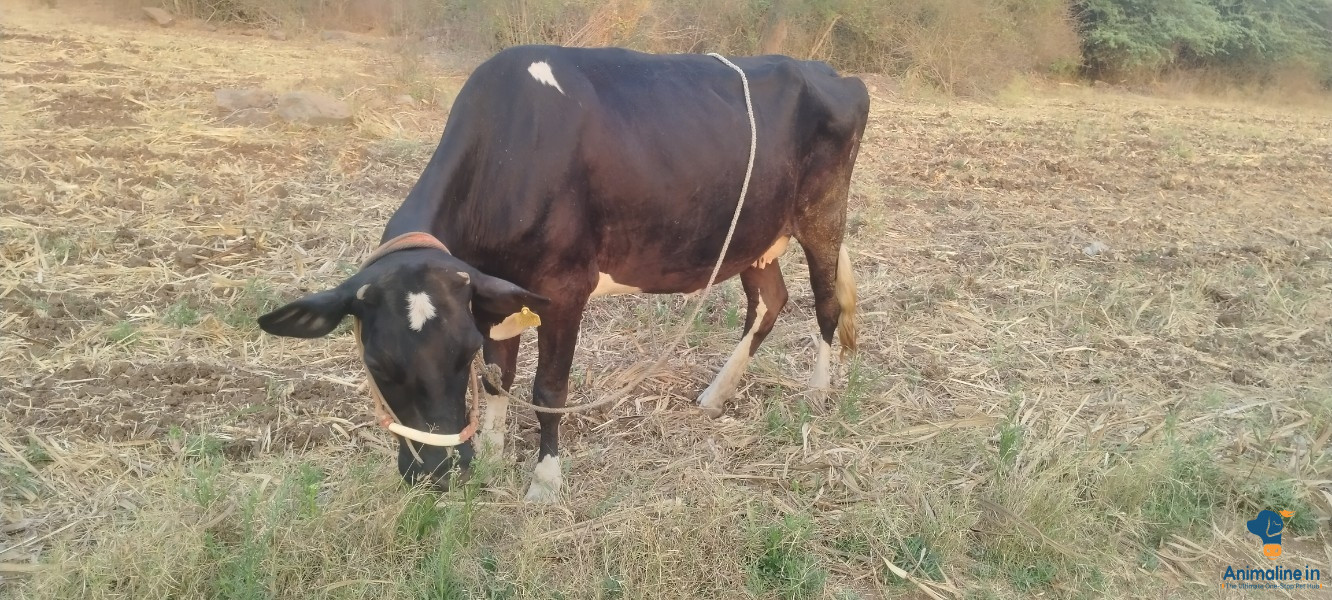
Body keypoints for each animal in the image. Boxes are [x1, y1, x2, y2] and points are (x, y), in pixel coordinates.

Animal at [257, 44, 870, 502]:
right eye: (377, 363)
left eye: (458, 352)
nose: (440, 473)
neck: (507, 152)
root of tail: (833, 73)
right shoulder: (492, 291)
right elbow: (498, 375)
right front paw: (495, 454)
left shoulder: (564, 286)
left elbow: (548, 387)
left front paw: (545, 481)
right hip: (754, 236)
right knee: (769, 301)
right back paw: (715, 396)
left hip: (822, 216)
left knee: (823, 302)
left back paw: (817, 393)